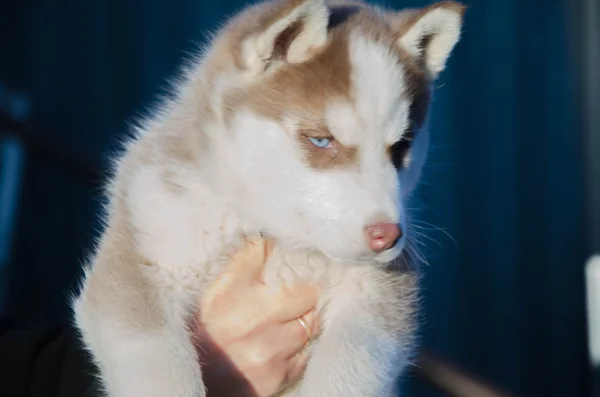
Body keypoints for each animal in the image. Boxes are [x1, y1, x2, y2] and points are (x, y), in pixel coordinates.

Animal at [70, 0, 464, 396]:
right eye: (321, 140)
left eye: (400, 148)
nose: (388, 235)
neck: (274, 233)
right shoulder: (146, 253)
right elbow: (162, 371)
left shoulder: (376, 299)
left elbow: (347, 369)